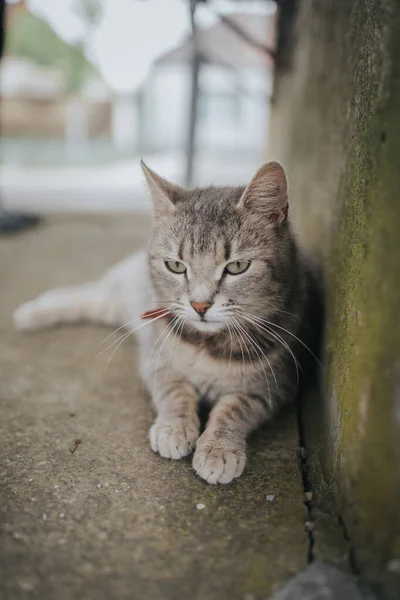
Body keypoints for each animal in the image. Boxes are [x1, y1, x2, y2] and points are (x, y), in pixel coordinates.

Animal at [14, 162, 324, 486]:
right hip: (118, 296)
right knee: (83, 294)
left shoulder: (272, 388)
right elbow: (175, 393)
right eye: (175, 266)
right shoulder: (157, 361)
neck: (206, 344)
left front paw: (218, 449)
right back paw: (31, 312)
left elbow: (233, 411)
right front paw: (174, 430)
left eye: (237, 267)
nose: (200, 305)